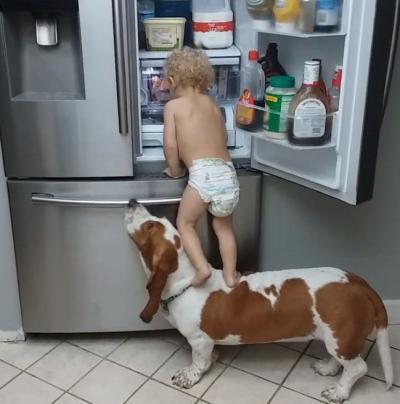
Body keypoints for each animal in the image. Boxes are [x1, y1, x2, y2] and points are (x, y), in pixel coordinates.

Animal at [125, 200, 393, 403]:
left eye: (149, 225)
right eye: (156, 220)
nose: (132, 201)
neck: (186, 281)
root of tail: (360, 284)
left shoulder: (199, 341)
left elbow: (198, 362)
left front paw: (189, 376)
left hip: (342, 338)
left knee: (357, 368)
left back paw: (339, 391)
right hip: (335, 339)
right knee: (341, 362)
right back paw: (327, 368)